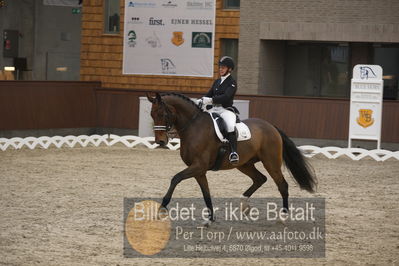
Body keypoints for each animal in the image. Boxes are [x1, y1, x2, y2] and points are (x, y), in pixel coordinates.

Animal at [145, 92, 318, 221]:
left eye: (162, 113)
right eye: (152, 114)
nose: (160, 141)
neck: (193, 126)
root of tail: (271, 127)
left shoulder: (198, 166)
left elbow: (175, 179)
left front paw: (162, 208)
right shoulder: (199, 170)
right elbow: (206, 194)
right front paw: (210, 219)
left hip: (271, 162)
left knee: (282, 185)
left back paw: (283, 216)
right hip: (244, 164)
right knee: (260, 179)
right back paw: (244, 205)